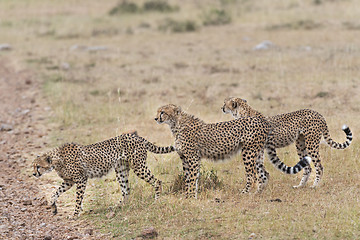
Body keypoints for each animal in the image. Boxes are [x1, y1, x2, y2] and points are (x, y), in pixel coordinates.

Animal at [31, 131, 175, 218]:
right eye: (33, 166)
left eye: (38, 166)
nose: (33, 174)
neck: (56, 161)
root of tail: (135, 136)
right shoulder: (69, 181)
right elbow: (55, 192)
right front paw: (52, 204)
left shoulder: (81, 179)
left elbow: (78, 198)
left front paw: (75, 213)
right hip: (121, 170)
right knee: (126, 190)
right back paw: (119, 206)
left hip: (138, 166)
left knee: (157, 181)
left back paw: (157, 200)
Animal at [154, 104, 310, 198]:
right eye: (158, 111)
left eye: (163, 112)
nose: (155, 118)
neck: (176, 124)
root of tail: (263, 121)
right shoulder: (186, 159)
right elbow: (189, 178)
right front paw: (188, 196)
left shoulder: (192, 158)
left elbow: (192, 178)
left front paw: (191, 197)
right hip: (258, 153)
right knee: (264, 174)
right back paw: (258, 193)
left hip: (248, 152)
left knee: (252, 176)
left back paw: (245, 193)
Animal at [221, 96, 352, 188]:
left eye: (225, 103)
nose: (222, 108)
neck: (243, 112)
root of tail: (318, 113)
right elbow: (259, 165)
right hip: (300, 144)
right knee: (307, 167)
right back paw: (300, 186)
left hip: (311, 143)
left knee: (319, 166)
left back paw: (315, 185)